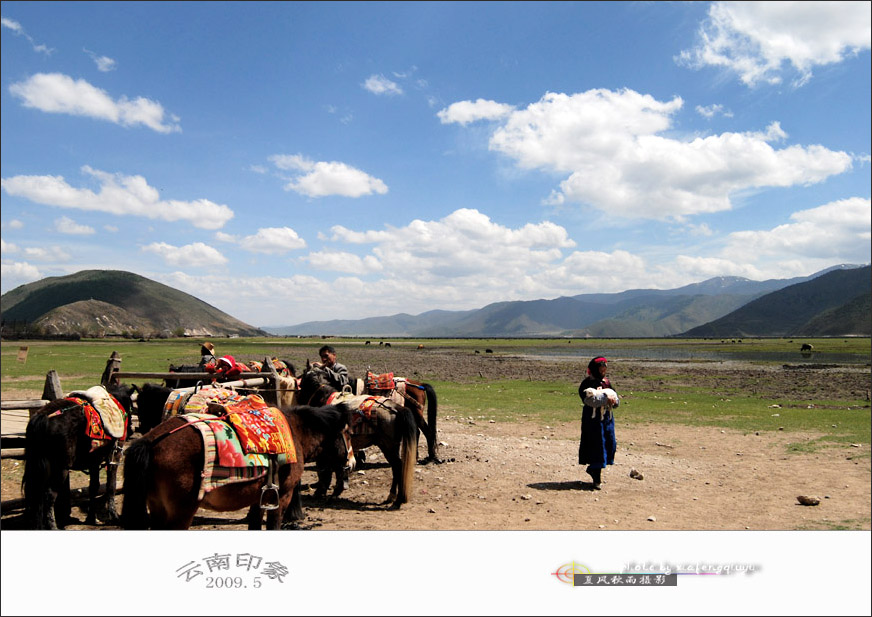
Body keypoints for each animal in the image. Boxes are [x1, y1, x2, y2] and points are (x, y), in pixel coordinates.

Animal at [22, 380, 137, 528]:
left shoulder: (94, 461)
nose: (131, 431)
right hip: (61, 468)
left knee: (36, 493)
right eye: (131, 406)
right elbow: (111, 486)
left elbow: (94, 487)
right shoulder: (114, 456)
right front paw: (114, 517)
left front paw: (91, 518)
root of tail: (44, 417)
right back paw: (53, 526)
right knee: (49, 494)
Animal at [120, 400, 350, 528]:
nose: (351, 462)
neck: (296, 432)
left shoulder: (259, 498)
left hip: (157, 507)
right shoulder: (282, 496)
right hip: (181, 512)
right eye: (348, 434)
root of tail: (149, 441)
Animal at [298, 364, 418, 508]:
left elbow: (325, 470)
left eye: (302, 381)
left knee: (397, 467)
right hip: (392, 446)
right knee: (396, 468)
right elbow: (337, 469)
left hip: (388, 447)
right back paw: (391, 496)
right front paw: (336, 490)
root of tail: (396, 408)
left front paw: (321, 491)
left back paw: (397, 499)